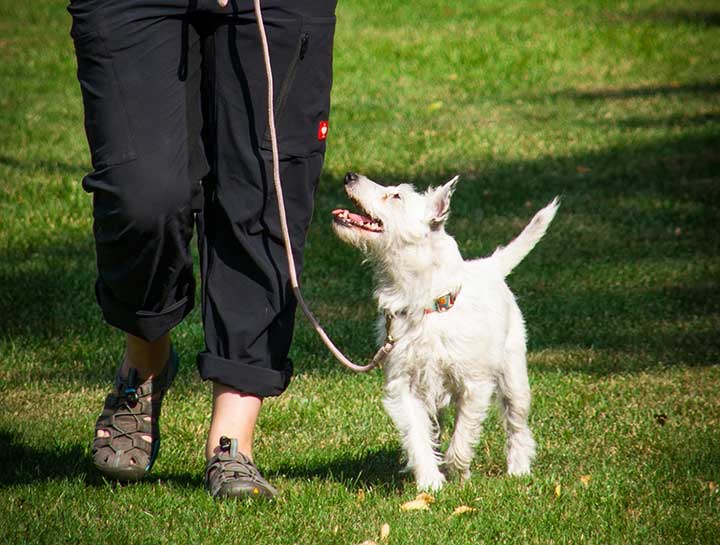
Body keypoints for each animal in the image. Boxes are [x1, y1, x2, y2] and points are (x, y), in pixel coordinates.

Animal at [330, 172, 556, 490]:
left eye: (396, 196)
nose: (350, 176)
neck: (424, 304)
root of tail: (489, 267)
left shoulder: (474, 385)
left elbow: (463, 436)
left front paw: (458, 473)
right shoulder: (404, 386)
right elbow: (416, 435)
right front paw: (429, 482)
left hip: (514, 376)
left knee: (517, 423)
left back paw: (518, 468)